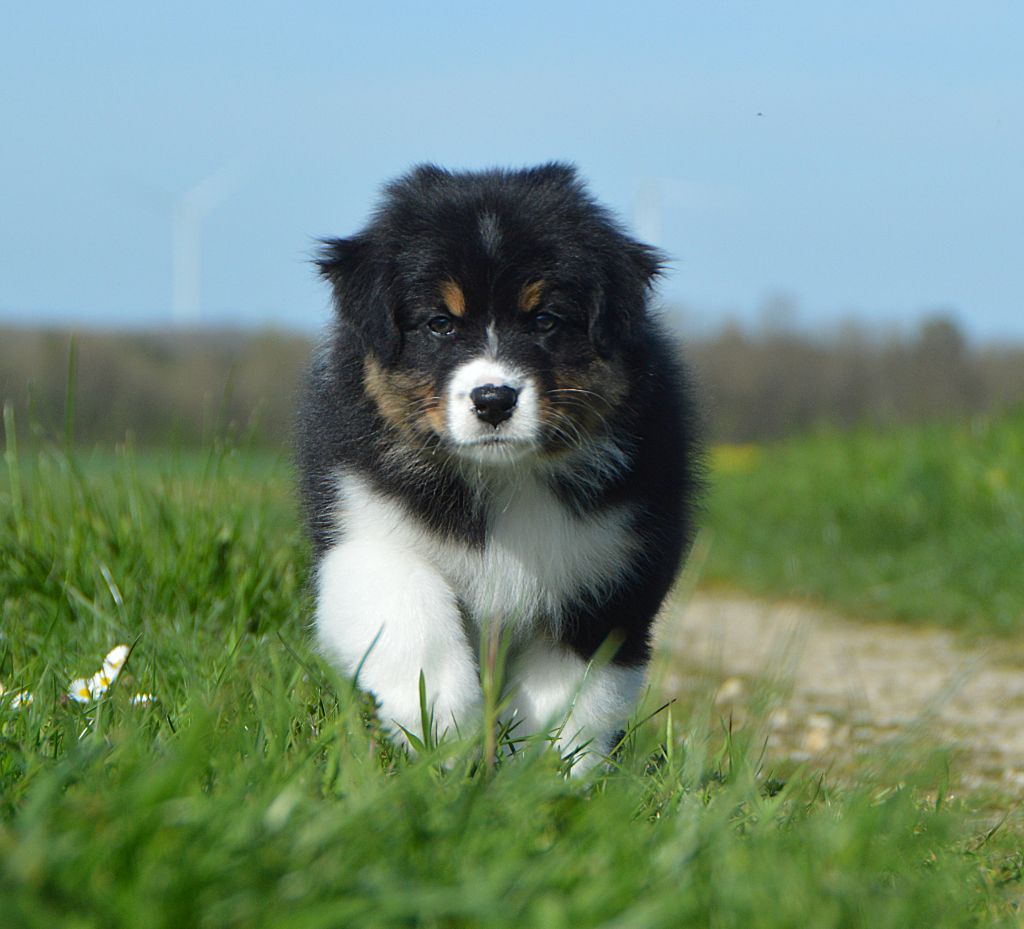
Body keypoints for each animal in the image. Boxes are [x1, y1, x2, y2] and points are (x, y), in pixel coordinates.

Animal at [297, 163, 701, 771]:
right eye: (439, 323)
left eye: (545, 320)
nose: (493, 399)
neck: (502, 476)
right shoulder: (363, 525)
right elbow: (409, 606)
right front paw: (442, 726)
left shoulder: (611, 575)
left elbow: (575, 694)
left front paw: (545, 774)